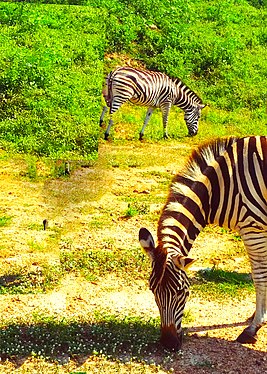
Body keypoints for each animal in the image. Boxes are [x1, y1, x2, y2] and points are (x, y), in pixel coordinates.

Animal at [139, 137, 267, 350]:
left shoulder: (253, 228)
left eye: (181, 292)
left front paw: (253, 328)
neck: (222, 187)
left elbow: (259, 277)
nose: (168, 344)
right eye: (152, 290)